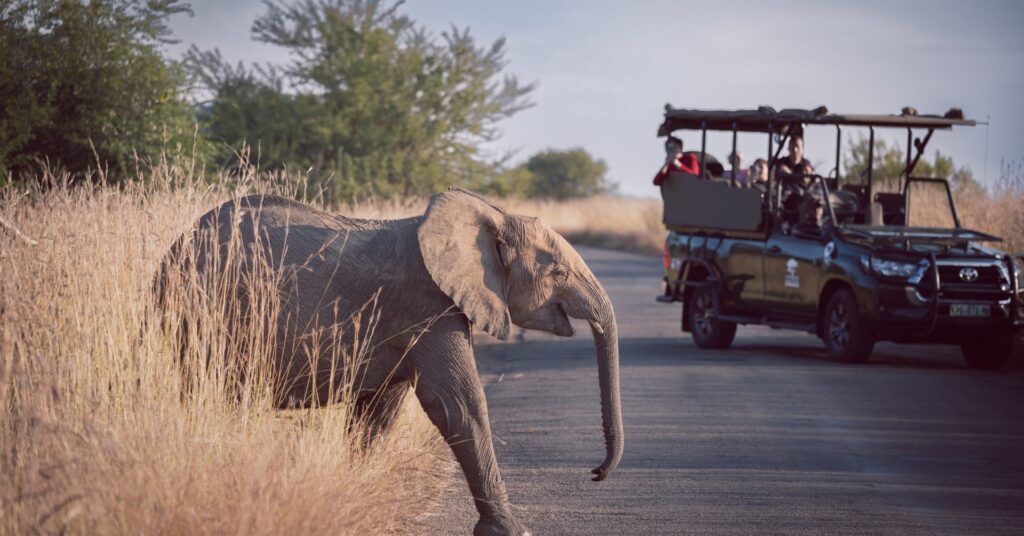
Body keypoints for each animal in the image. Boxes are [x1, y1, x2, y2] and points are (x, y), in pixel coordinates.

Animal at [157, 189, 622, 536]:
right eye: (558, 273)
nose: (596, 473)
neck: (491, 214)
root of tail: (172, 250)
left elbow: (380, 410)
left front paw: (351, 493)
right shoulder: (428, 304)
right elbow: (457, 404)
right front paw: (511, 531)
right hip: (202, 312)